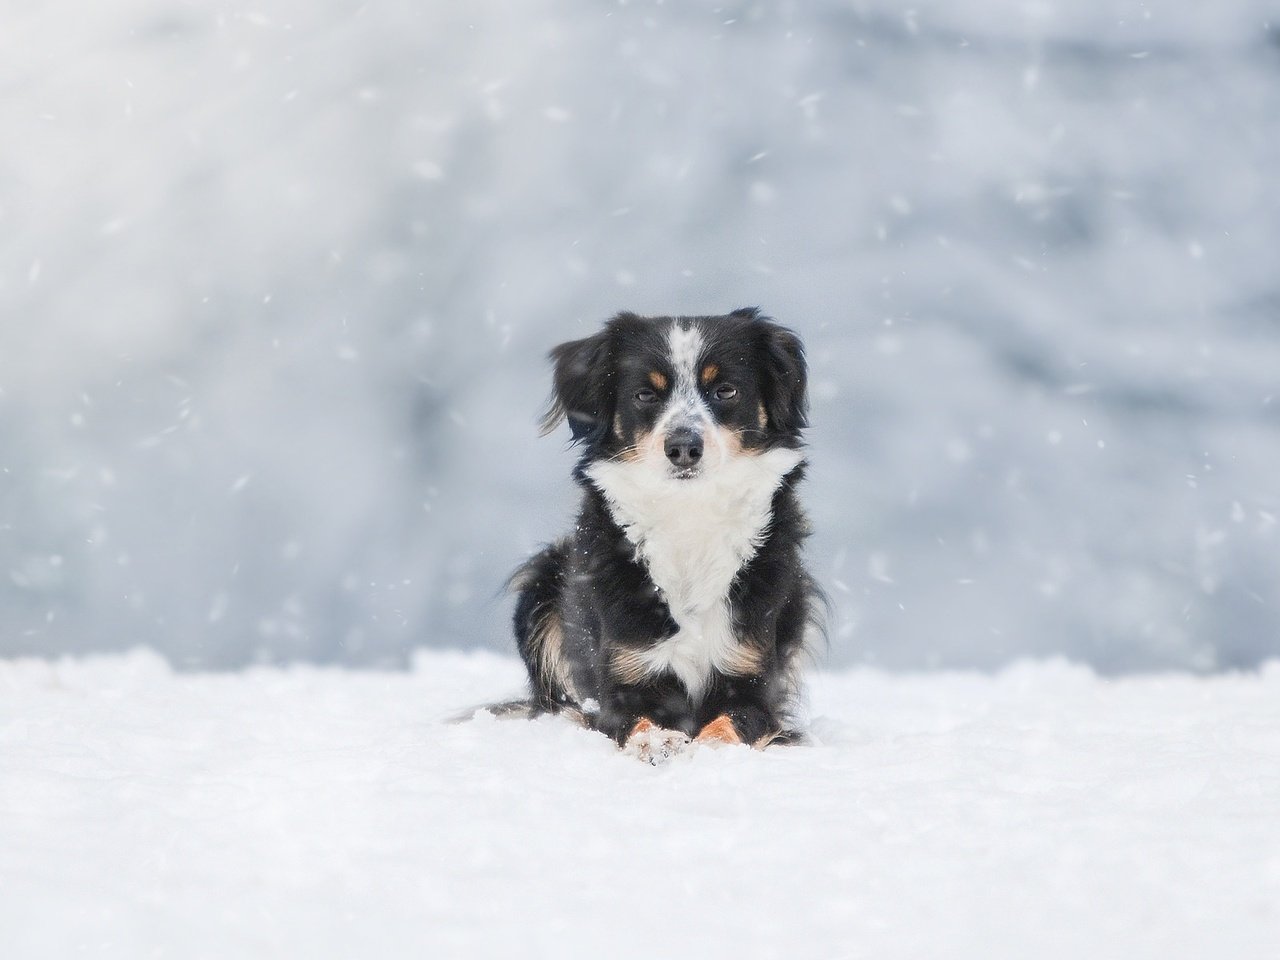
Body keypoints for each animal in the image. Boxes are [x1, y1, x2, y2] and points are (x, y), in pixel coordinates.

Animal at [509, 308, 819, 757]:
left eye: (725, 390)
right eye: (645, 395)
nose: (684, 447)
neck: (688, 512)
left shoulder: (754, 674)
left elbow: (731, 723)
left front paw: (704, 747)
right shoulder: (623, 678)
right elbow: (636, 721)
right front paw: (659, 743)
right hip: (542, 581)